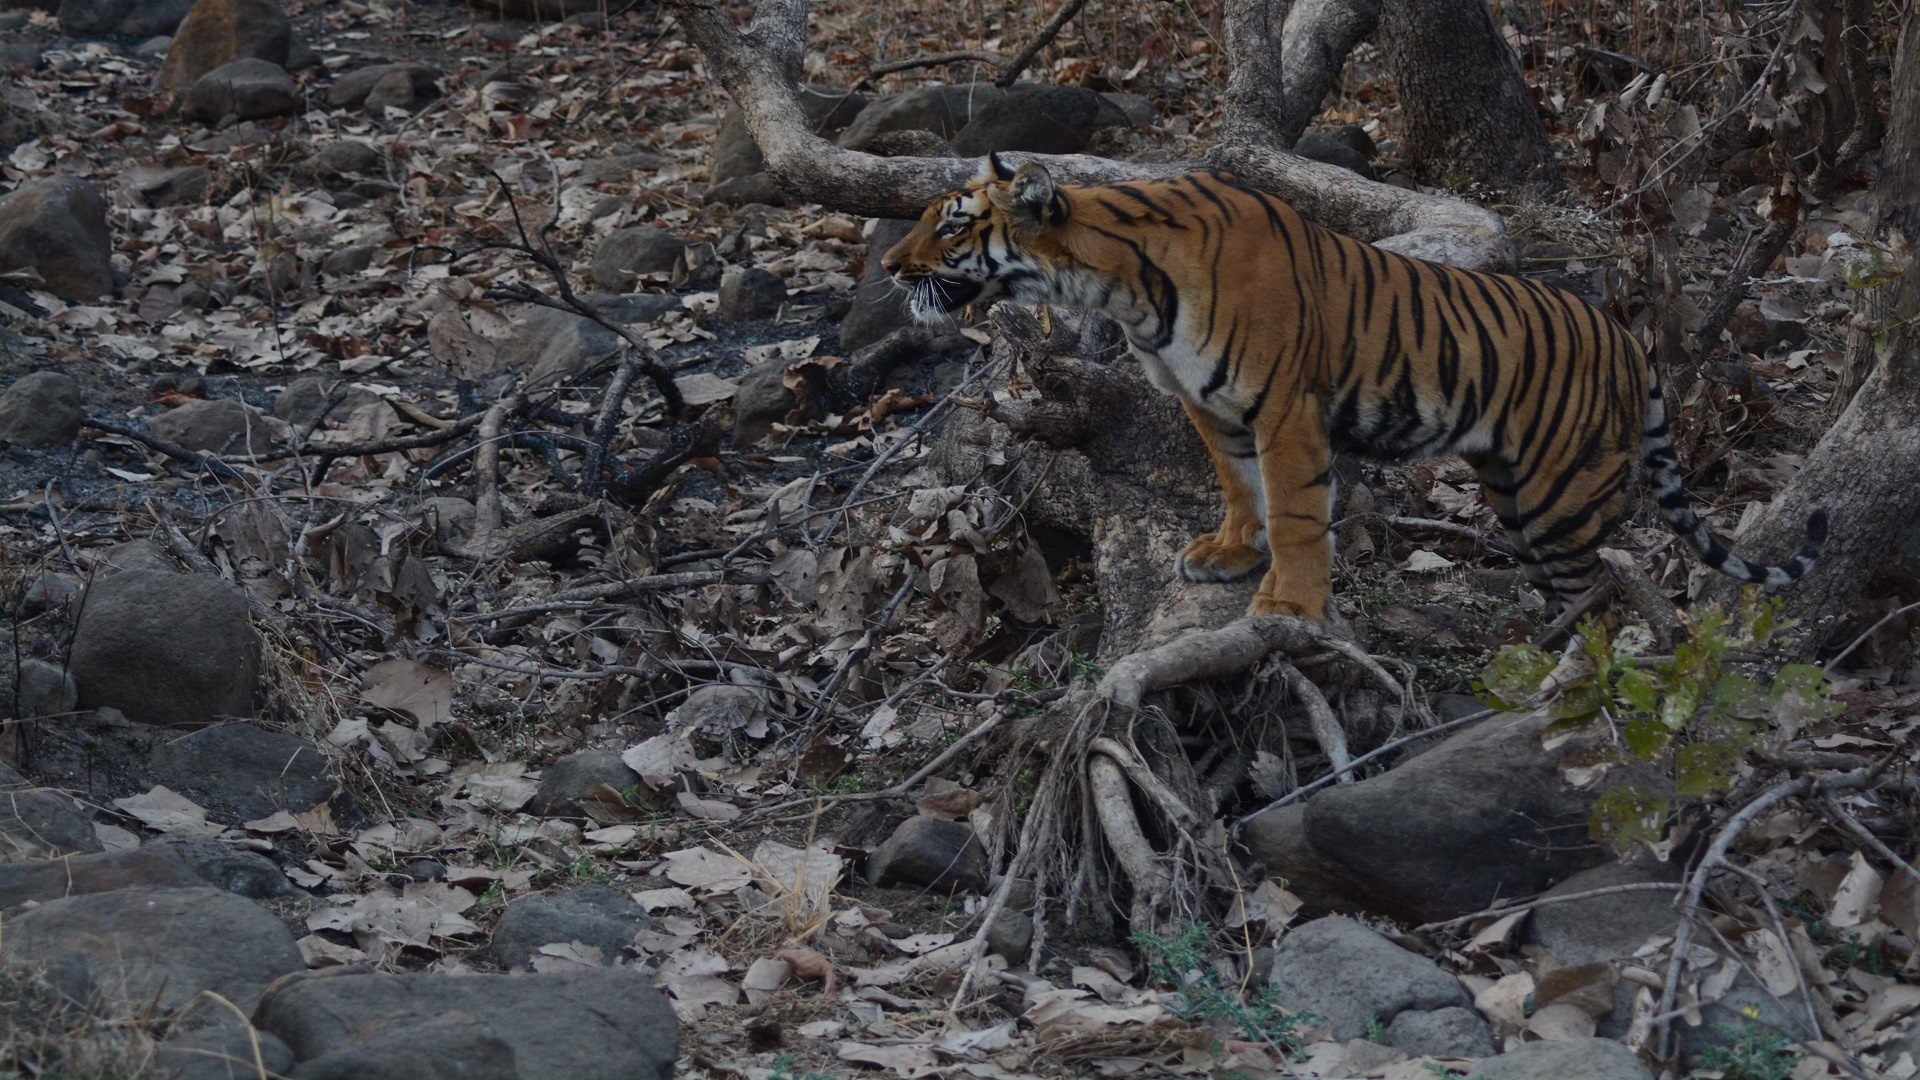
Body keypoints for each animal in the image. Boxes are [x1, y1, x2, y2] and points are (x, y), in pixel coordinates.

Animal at [879, 153, 1820, 622]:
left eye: (952, 224)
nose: (887, 267)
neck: (1116, 285)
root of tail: (1628, 338)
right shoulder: (1207, 403)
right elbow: (1239, 488)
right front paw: (1230, 552)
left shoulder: (1285, 407)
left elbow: (1297, 512)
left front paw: (1290, 603)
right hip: (1513, 491)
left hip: (1561, 494)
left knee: (1598, 594)